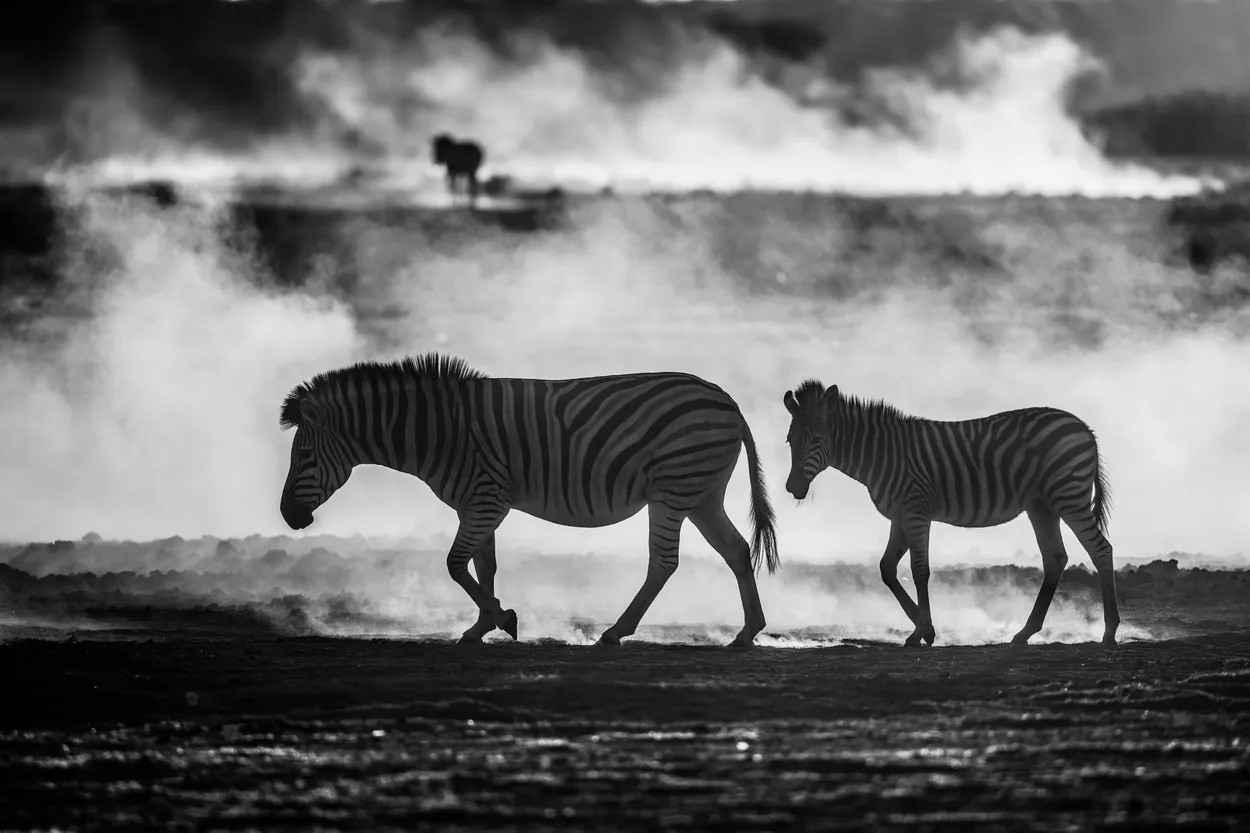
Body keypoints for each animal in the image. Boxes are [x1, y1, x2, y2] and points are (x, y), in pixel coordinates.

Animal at [278, 353, 781, 647]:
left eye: (303, 456)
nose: (287, 516)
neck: (438, 431)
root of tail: (729, 401)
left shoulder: (486, 499)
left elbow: (454, 565)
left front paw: (503, 618)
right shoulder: (478, 503)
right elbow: (483, 566)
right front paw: (483, 625)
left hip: (673, 488)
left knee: (664, 563)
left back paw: (615, 633)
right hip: (701, 494)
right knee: (737, 550)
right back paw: (748, 632)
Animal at [782, 379, 1119, 647]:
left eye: (815, 440)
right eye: (789, 441)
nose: (792, 487)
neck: (882, 456)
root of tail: (1083, 426)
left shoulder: (915, 511)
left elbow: (919, 571)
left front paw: (922, 630)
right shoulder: (900, 515)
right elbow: (887, 568)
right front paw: (922, 626)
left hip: (1068, 496)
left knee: (1101, 550)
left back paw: (1109, 632)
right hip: (1042, 505)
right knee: (1055, 559)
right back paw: (1025, 632)